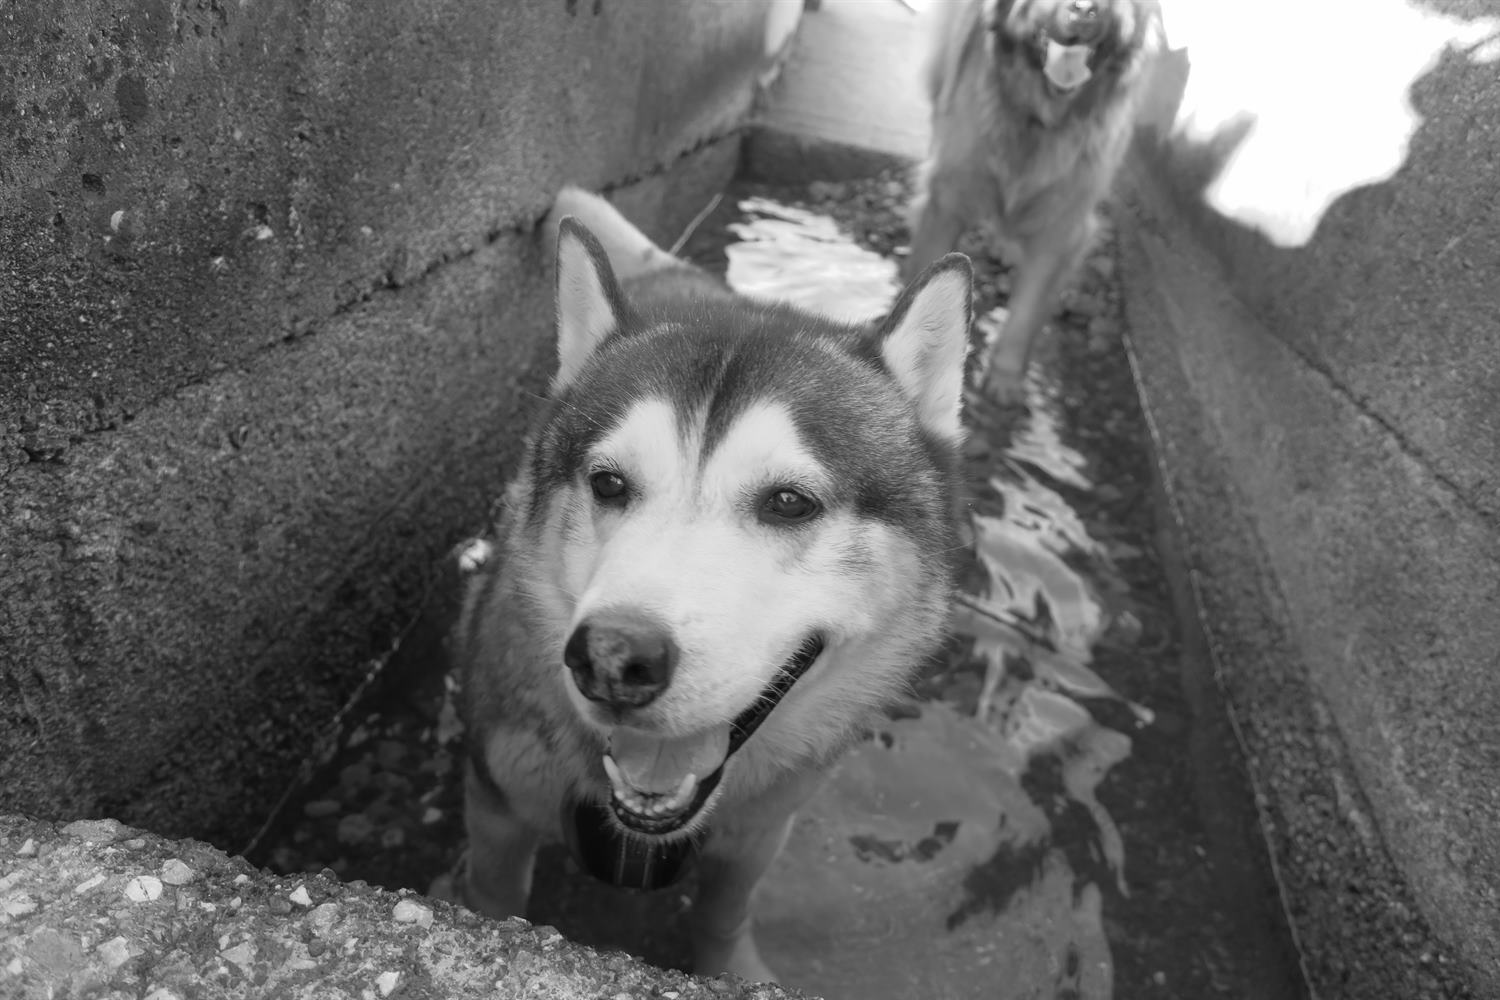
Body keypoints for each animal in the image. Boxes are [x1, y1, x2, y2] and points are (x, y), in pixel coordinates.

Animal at [453, 187, 972, 983]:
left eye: (789, 502)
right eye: (608, 483)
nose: (612, 658)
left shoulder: (761, 829)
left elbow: (726, 913)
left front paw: (736, 969)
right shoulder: (498, 801)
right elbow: (492, 896)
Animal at [900, 0, 1158, 401]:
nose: (1085, 10)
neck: (1042, 117)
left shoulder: (1061, 226)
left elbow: (1026, 310)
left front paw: (1005, 375)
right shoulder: (948, 198)